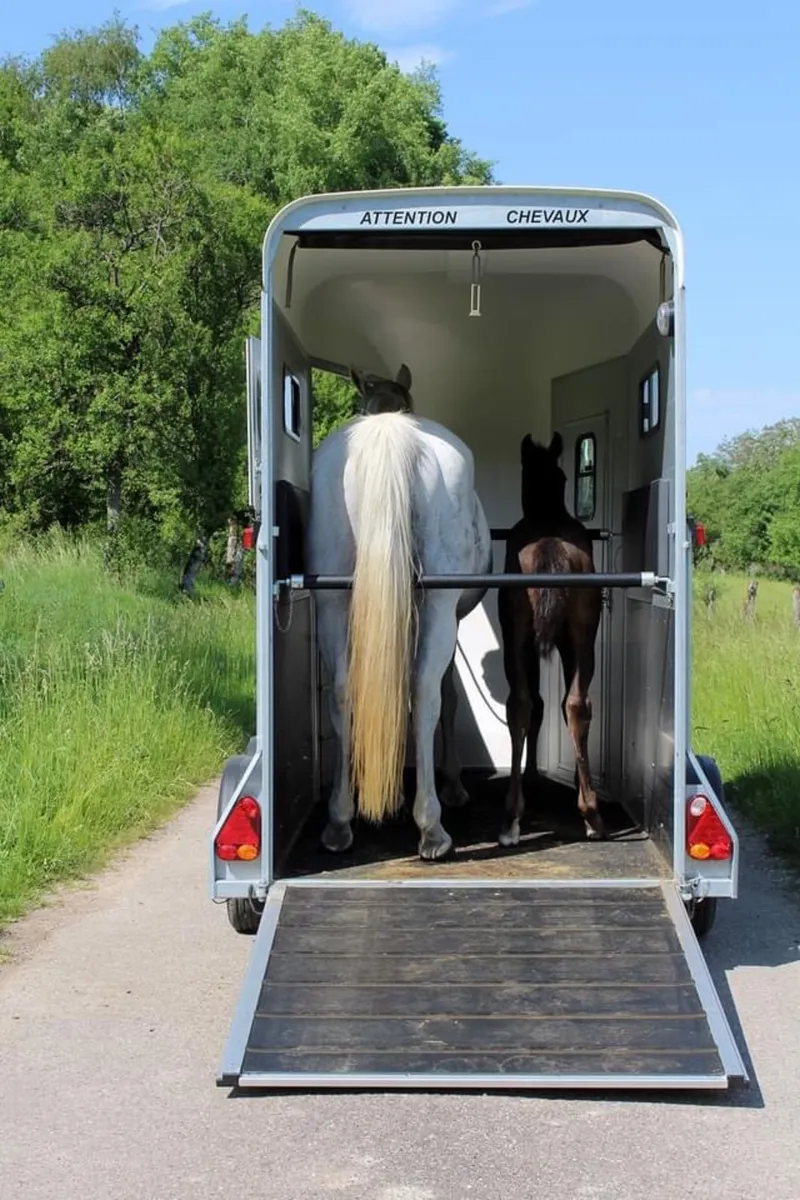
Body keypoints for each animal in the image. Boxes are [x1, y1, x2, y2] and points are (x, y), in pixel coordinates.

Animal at [307, 363, 493, 860]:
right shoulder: (451, 617)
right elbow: (447, 697)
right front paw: (454, 785)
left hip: (332, 600)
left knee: (343, 692)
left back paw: (339, 820)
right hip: (440, 607)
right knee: (425, 694)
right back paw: (432, 827)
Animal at [497, 432, 604, 846]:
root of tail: (550, 546)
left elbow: (539, 706)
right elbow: (546, 705)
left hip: (522, 639)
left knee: (525, 704)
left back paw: (515, 816)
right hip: (579, 638)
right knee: (569, 703)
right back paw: (588, 812)